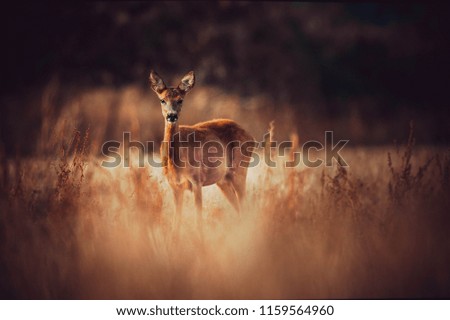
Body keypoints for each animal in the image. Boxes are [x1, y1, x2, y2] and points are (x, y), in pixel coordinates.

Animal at [149, 70, 255, 220]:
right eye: (162, 100)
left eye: (180, 100)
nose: (171, 115)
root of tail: (251, 136)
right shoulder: (175, 186)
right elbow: (176, 220)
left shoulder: (197, 181)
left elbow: (198, 219)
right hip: (223, 180)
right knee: (239, 208)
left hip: (240, 171)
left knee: (245, 207)